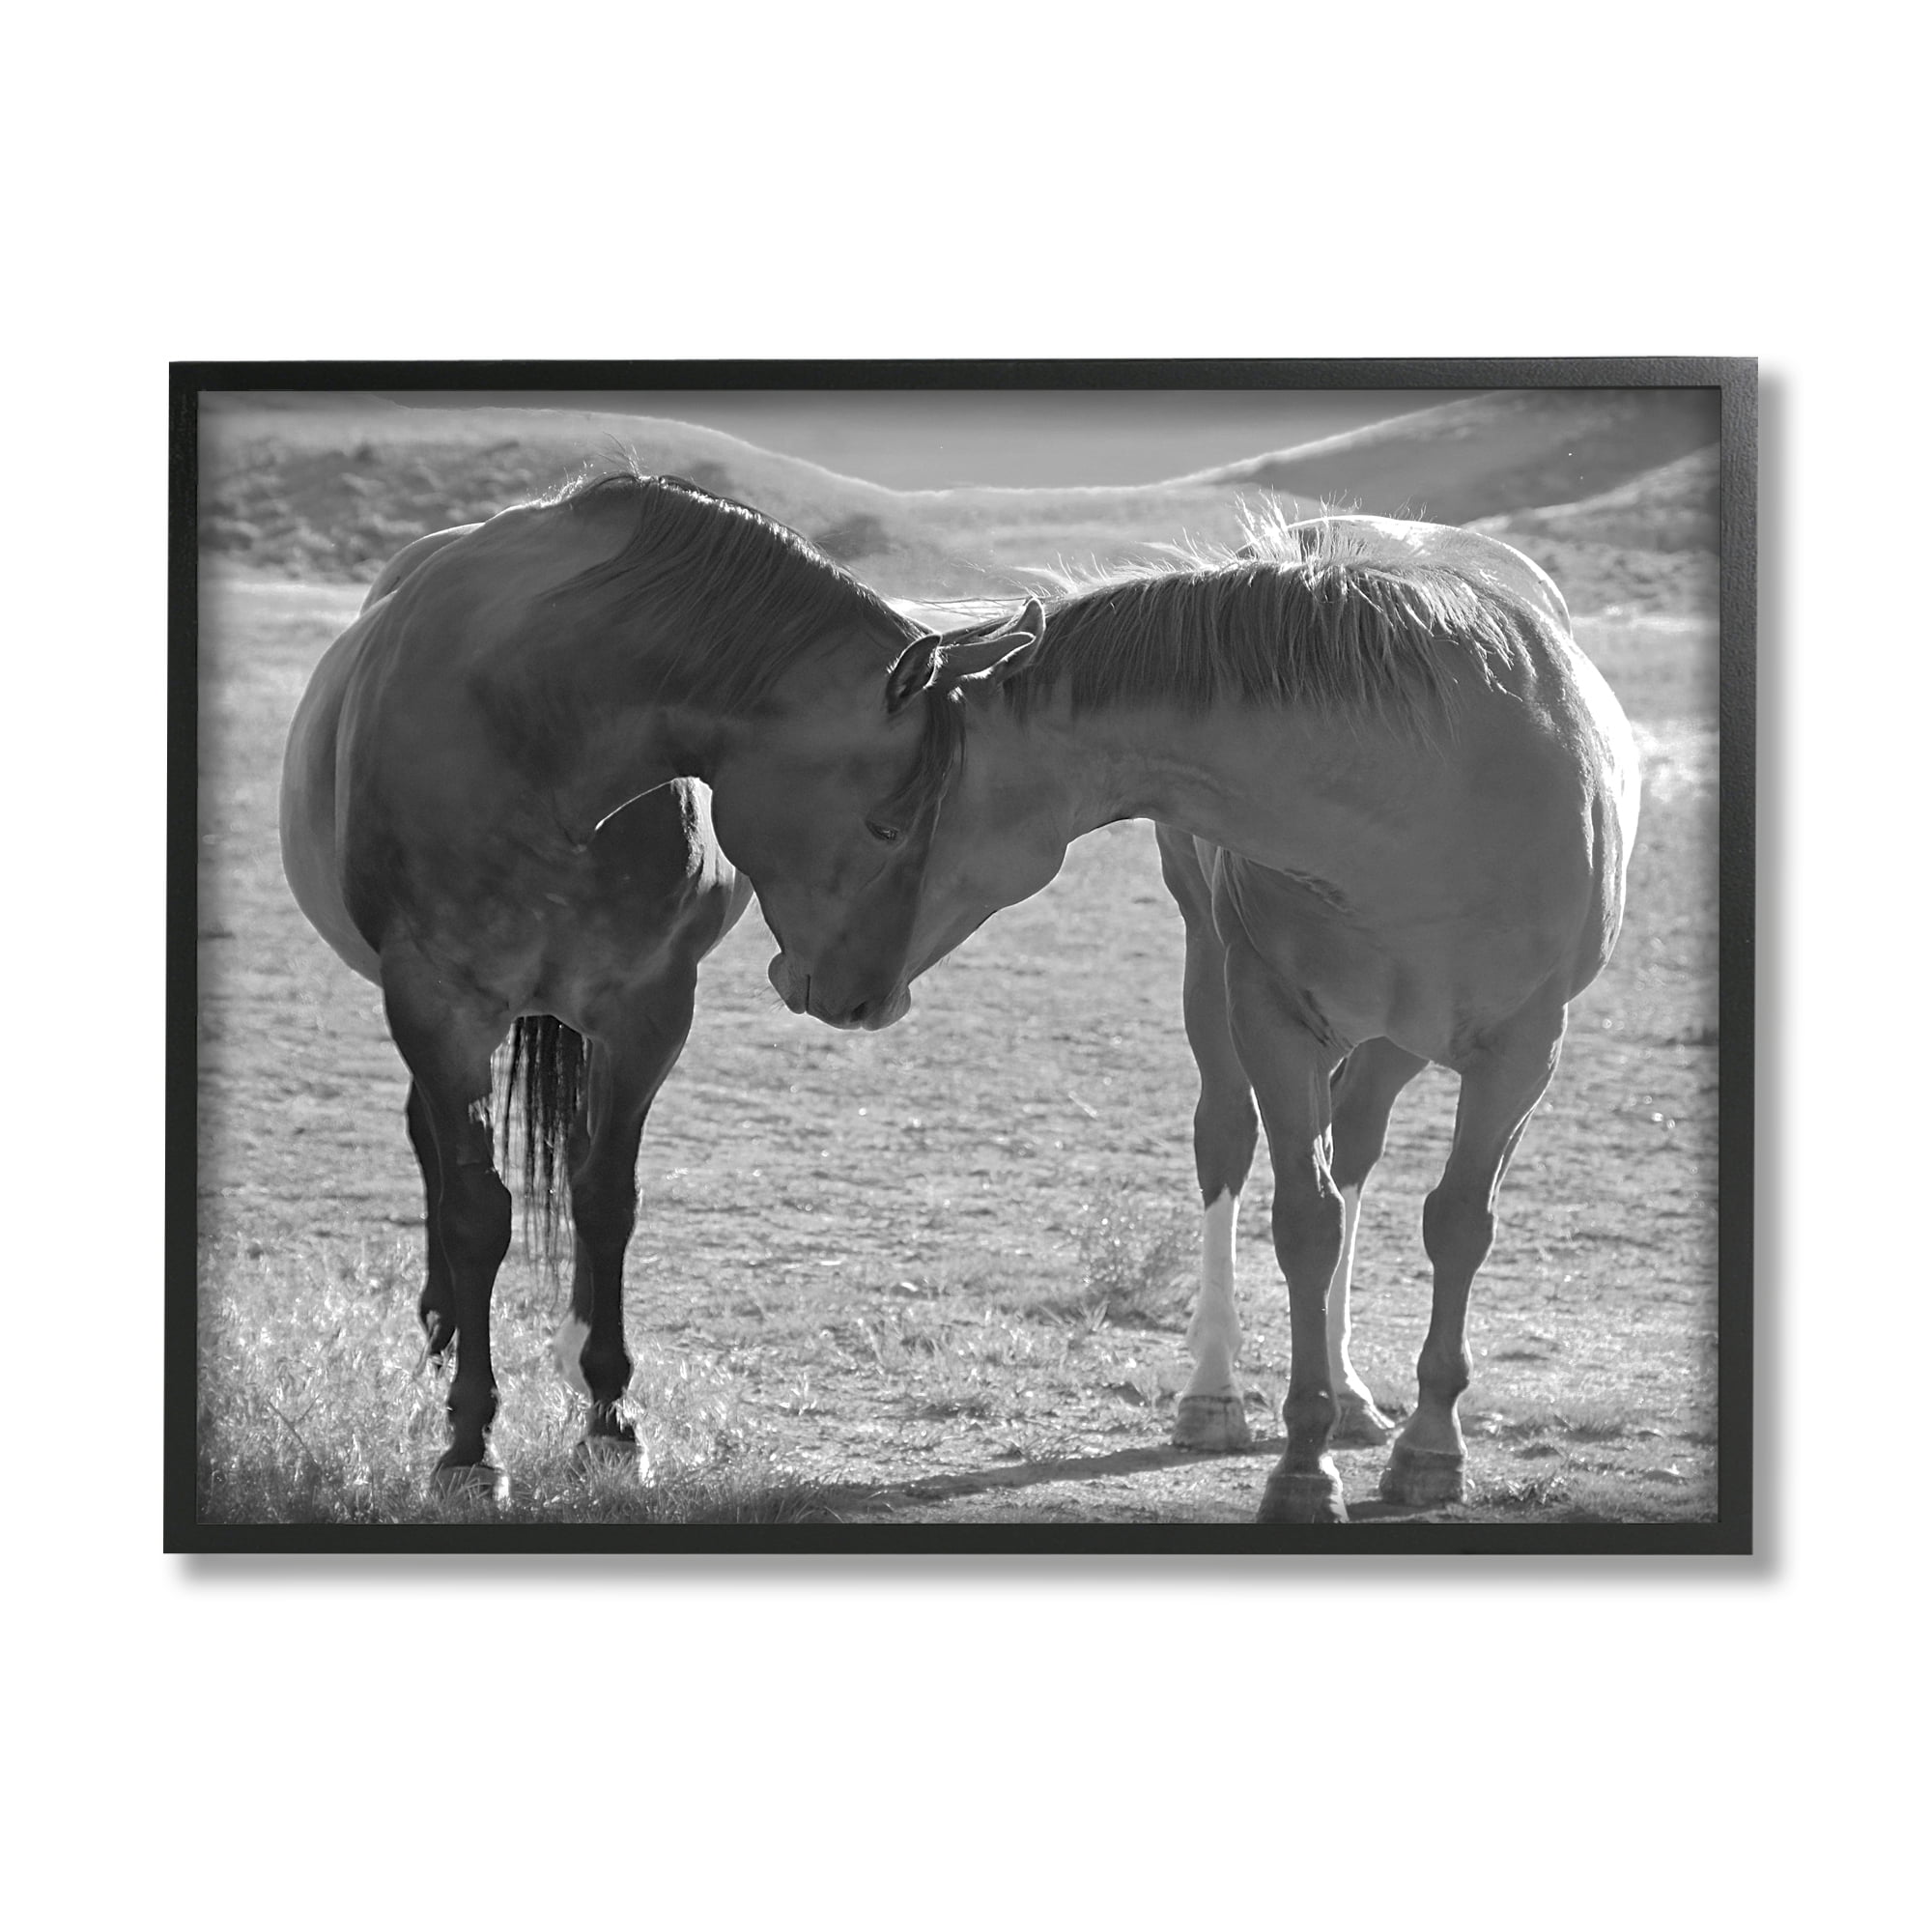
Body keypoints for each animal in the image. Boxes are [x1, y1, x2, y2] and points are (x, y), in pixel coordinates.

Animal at [279, 469, 1000, 1495]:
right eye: (889, 824)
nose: (870, 1000)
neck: (536, 727)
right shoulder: (436, 1004)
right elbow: (476, 1212)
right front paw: (470, 1441)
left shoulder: (646, 1010)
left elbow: (605, 1200)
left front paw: (610, 1417)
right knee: (432, 1148)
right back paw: (444, 1325)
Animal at [883, 509, 1640, 1525]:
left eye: (896, 813)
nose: (824, 975)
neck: (1417, 795)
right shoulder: (1273, 1020)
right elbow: (1304, 1223)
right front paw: (1303, 1465)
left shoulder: (1524, 1051)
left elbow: (1456, 1225)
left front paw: (1430, 1447)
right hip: (1214, 972)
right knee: (1227, 1142)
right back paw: (1214, 1393)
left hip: (1396, 1038)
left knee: (1356, 1146)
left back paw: (1356, 1393)